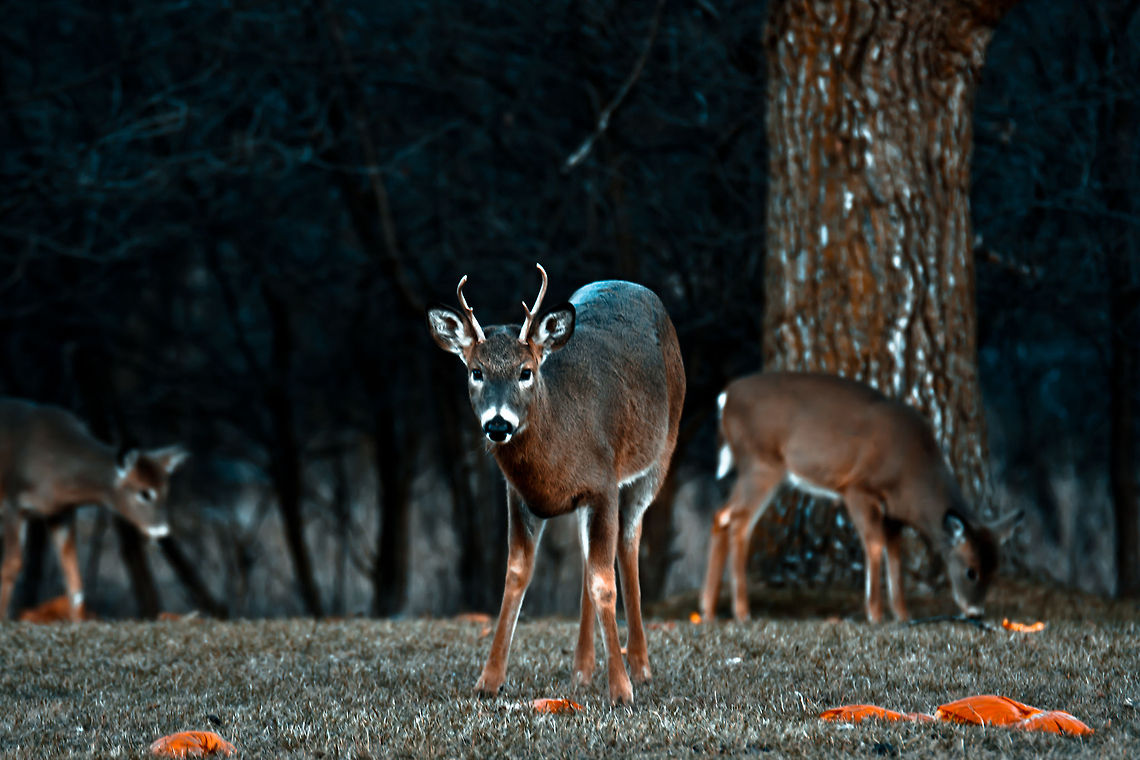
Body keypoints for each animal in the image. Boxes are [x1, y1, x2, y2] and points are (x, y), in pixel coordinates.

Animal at [0, 398, 187, 621]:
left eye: (166, 490)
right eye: (144, 493)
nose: (162, 531)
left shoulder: (60, 513)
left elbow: (74, 578)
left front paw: (78, 622)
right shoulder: (13, 505)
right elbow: (11, 566)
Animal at [427, 263, 685, 705]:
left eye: (525, 372)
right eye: (476, 372)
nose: (498, 424)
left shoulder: (603, 483)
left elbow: (604, 583)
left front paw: (621, 690)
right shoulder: (520, 495)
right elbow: (517, 573)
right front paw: (488, 680)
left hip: (659, 456)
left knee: (628, 544)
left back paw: (640, 665)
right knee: (587, 558)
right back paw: (582, 670)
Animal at [700, 372, 1021, 624]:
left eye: (996, 570)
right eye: (971, 571)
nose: (976, 612)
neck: (912, 477)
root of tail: (725, 397)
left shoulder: (894, 513)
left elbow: (895, 557)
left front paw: (902, 615)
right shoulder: (858, 487)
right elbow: (875, 545)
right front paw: (875, 614)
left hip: (758, 467)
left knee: (721, 514)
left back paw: (708, 609)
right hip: (761, 462)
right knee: (740, 522)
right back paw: (741, 612)